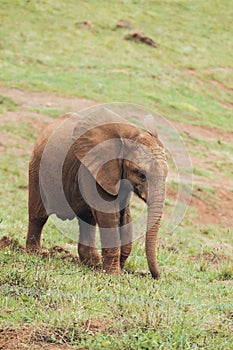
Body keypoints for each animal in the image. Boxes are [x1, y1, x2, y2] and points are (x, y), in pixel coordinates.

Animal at [26, 108, 167, 278]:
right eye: (141, 174)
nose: (156, 276)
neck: (130, 136)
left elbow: (124, 216)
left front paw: (116, 268)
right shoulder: (93, 170)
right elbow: (108, 214)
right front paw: (114, 274)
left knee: (87, 220)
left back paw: (92, 263)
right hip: (37, 167)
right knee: (39, 216)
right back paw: (35, 253)